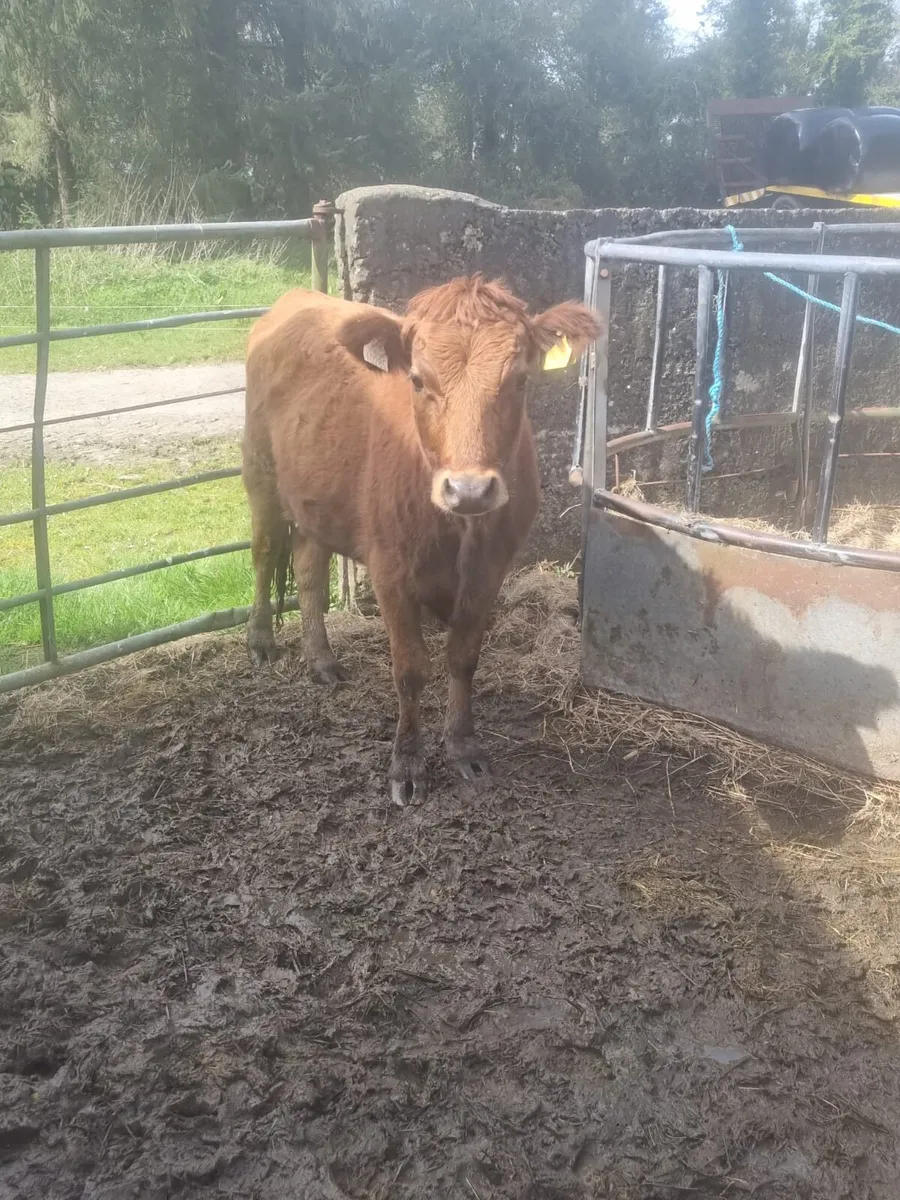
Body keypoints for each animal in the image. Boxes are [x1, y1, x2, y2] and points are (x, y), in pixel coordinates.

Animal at [241, 275, 602, 805]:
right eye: (416, 380)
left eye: (519, 380)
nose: (469, 489)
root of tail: (299, 299)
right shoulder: (389, 570)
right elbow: (410, 670)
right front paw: (407, 765)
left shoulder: (490, 568)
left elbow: (464, 658)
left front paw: (463, 747)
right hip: (260, 475)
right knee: (266, 554)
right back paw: (262, 641)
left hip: (316, 500)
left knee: (308, 570)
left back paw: (322, 659)